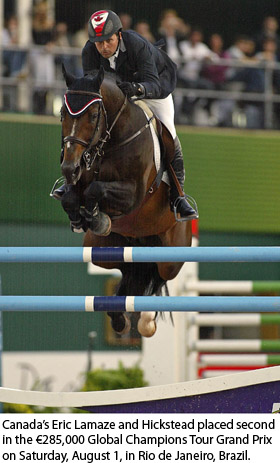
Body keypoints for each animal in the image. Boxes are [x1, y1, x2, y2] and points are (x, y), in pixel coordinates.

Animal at [56, 65, 194, 338]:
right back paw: (120, 318)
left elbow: (96, 190)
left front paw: (96, 217)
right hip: (102, 250)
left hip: (171, 257)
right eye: (62, 113)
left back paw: (145, 319)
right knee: (132, 274)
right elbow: (70, 198)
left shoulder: (133, 194)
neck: (109, 141)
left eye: (93, 115)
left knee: (158, 274)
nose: (69, 167)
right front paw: (82, 217)